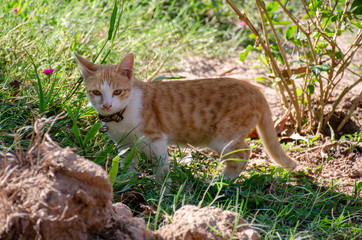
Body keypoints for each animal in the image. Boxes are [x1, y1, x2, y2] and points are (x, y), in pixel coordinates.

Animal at [75, 52, 296, 180]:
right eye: (96, 92)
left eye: (118, 92)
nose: (107, 104)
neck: (121, 115)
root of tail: (256, 90)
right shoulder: (124, 144)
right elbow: (128, 163)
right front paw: (126, 180)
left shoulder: (156, 139)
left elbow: (161, 166)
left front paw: (160, 188)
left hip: (223, 137)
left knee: (243, 154)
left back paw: (222, 182)